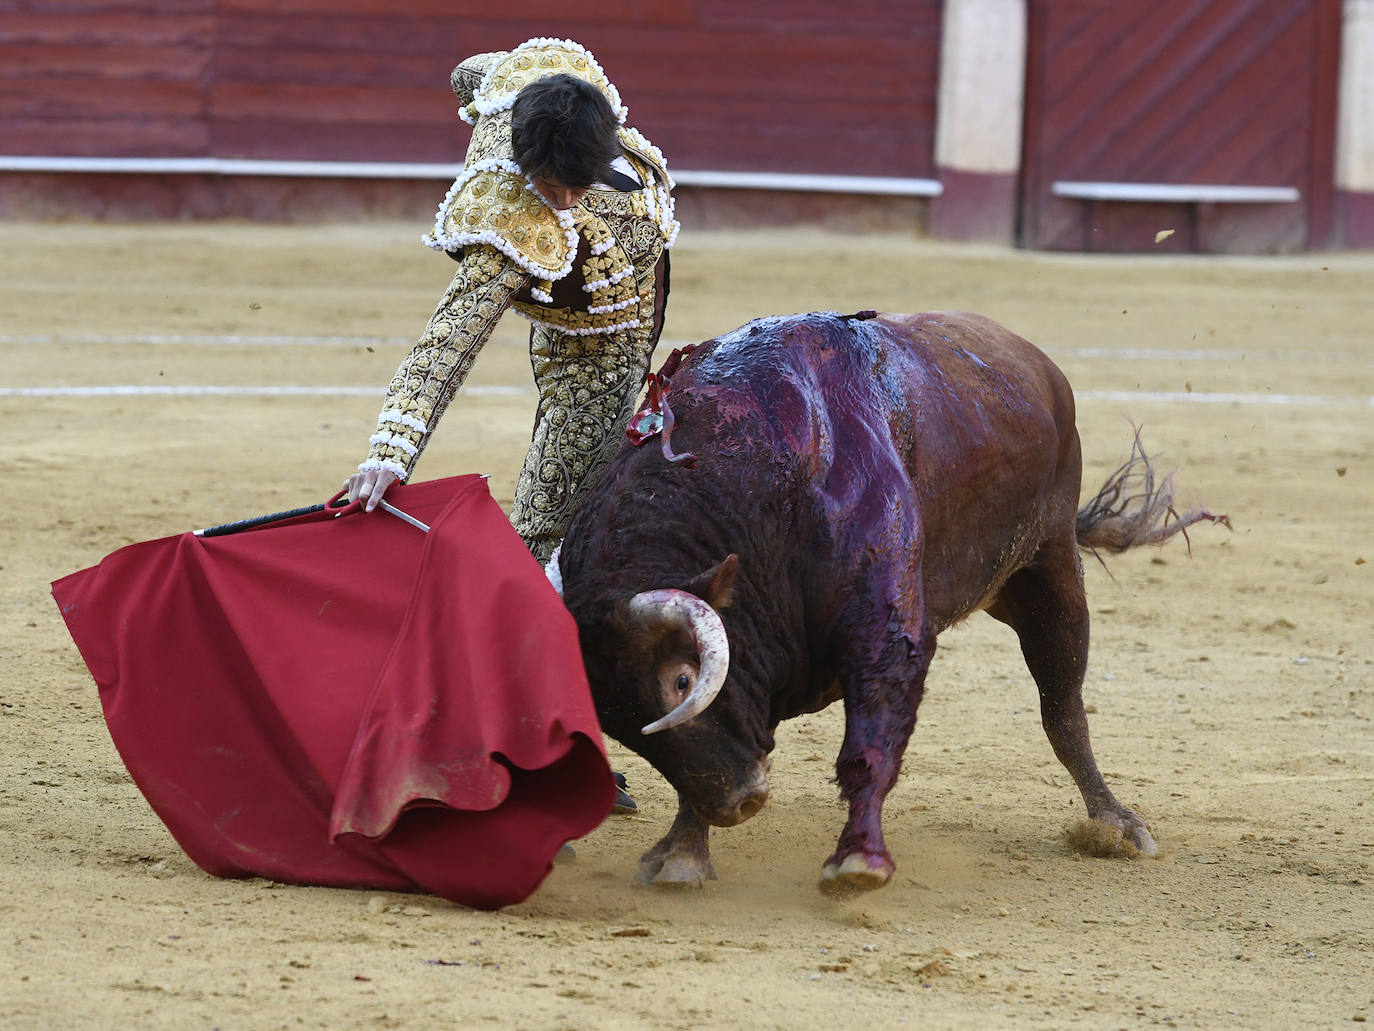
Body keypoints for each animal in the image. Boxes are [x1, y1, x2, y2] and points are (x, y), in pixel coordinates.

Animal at [552, 309, 1220, 896]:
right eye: (614, 721)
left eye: (682, 680)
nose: (738, 803)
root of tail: (1036, 361)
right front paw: (682, 856)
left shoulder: (883, 633)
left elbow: (869, 743)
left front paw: (858, 862)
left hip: (1049, 571)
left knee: (1063, 707)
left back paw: (1115, 824)